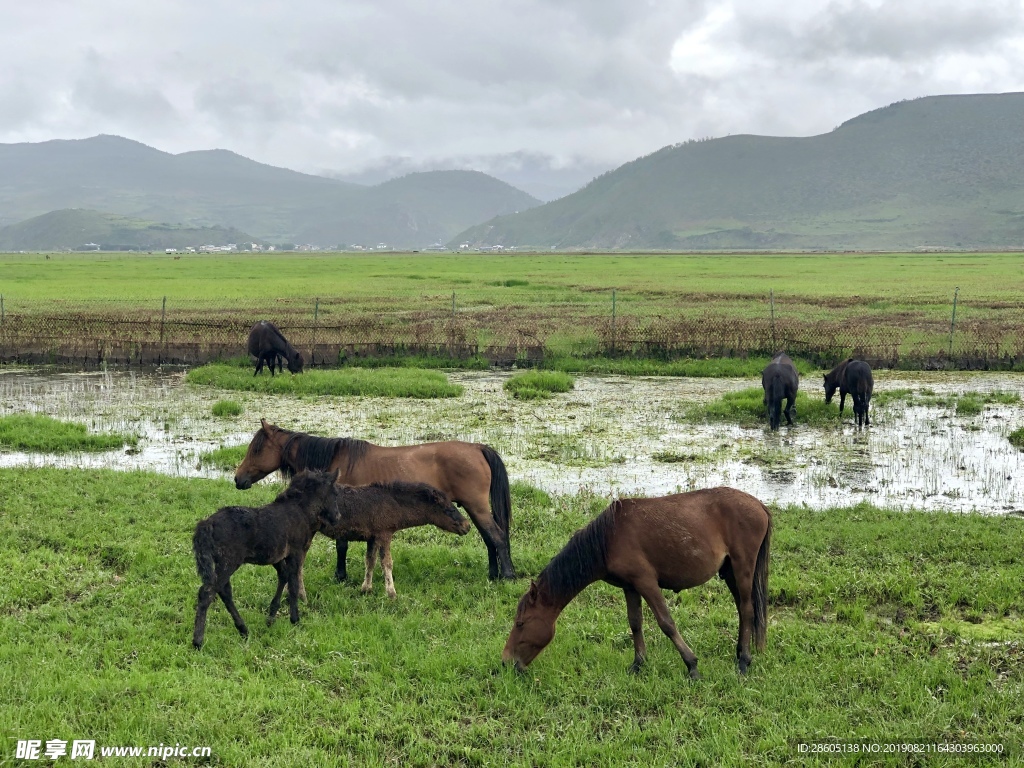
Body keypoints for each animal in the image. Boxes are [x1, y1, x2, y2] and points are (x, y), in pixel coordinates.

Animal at [234, 421, 516, 581]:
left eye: (256, 449)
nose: (238, 479)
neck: (336, 462)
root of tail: (478, 448)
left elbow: (341, 546)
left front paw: (340, 576)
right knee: (490, 539)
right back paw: (493, 575)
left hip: (477, 507)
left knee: (498, 538)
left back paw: (508, 576)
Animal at [499, 489, 770, 684]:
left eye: (520, 623)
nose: (505, 662)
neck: (608, 538)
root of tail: (760, 506)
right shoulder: (630, 587)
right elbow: (635, 623)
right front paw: (638, 663)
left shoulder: (646, 582)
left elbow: (666, 623)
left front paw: (691, 665)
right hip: (730, 572)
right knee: (743, 611)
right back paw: (740, 654)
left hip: (743, 568)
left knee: (748, 610)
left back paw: (744, 662)